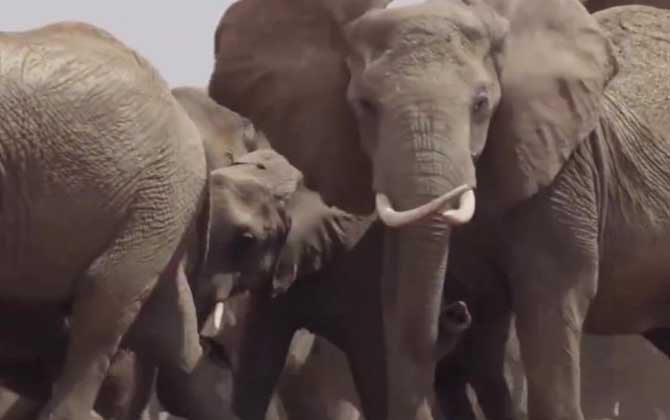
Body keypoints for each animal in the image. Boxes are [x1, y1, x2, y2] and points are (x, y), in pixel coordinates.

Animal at [210, 0, 670, 420]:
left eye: (482, 103)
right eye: (365, 105)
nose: (456, 311)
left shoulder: (564, 173)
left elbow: (549, 303)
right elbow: (401, 305)